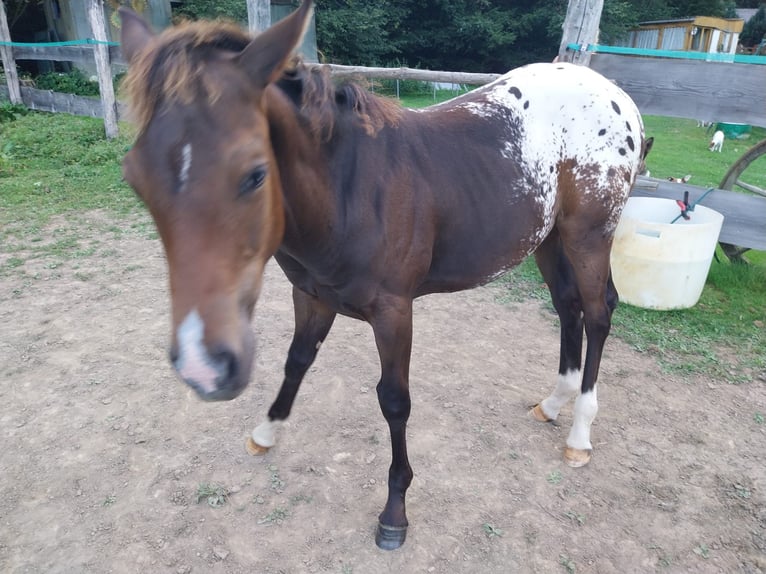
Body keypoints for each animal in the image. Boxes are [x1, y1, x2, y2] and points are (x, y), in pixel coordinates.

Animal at [118, 0, 648, 552]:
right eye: (135, 179)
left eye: (255, 174)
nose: (203, 367)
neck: (348, 187)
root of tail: (619, 99)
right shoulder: (311, 295)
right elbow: (296, 361)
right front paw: (266, 431)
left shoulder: (394, 312)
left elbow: (394, 401)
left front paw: (395, 512)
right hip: (548, 239)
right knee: (567, 307)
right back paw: (553, 402)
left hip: (588, 237)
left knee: (597, 312)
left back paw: (580, 433)